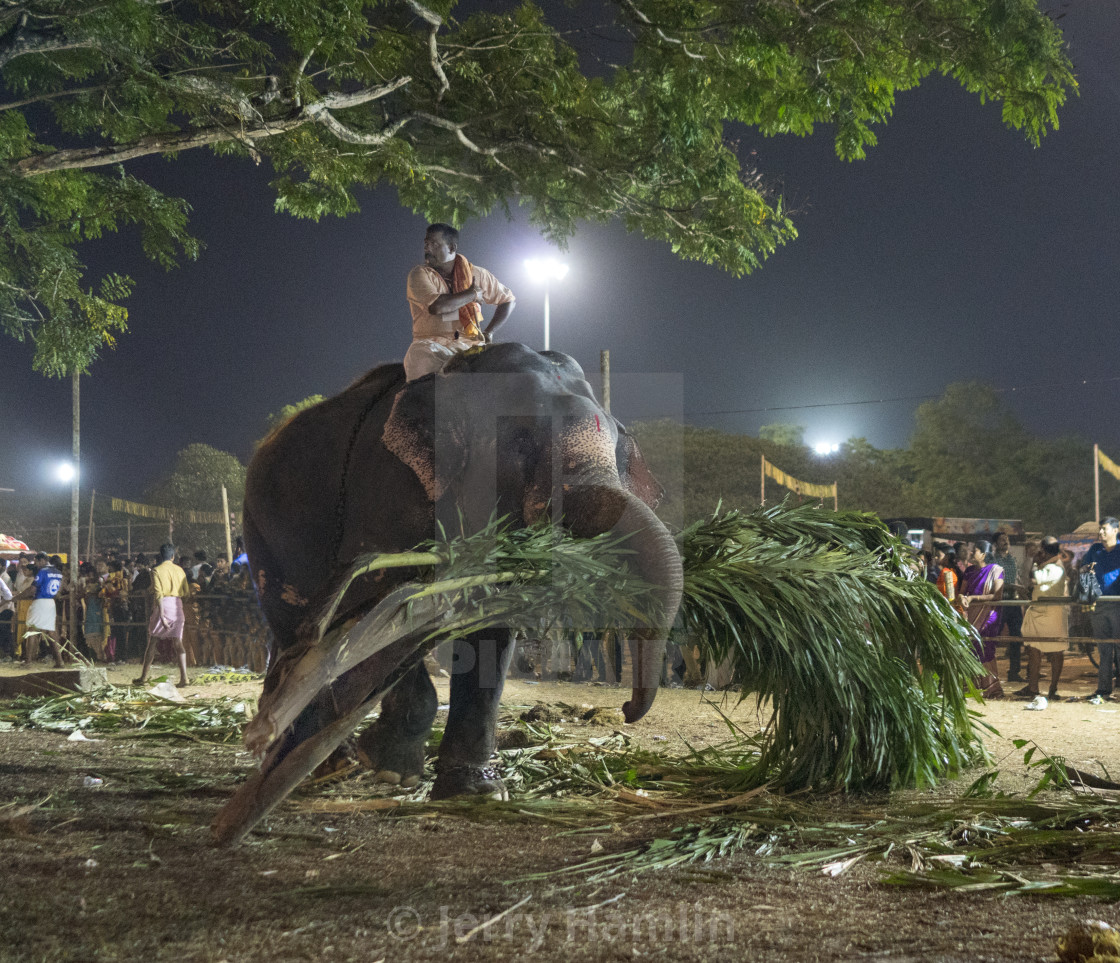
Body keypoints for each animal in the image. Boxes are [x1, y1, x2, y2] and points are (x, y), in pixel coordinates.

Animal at [212, 342, 676, 837]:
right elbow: (377, 616)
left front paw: (476, 792)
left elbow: (491, 631)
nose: (626, 708)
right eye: (519, 441)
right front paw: (390, 768)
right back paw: (323, 759)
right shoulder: (383, 491)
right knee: (297, 626)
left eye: (620, 448)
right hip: (262, 530)